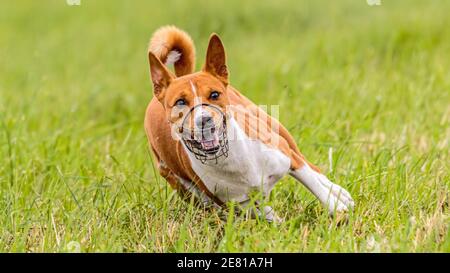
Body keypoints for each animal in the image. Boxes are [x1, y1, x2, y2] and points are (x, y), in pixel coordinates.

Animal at [146, 26, 354, 221]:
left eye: (214, 94)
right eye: (180, 102)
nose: (204, 119)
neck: (229, 157)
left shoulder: (287, 157)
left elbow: (313, 182)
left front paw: (336, 207)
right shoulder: (237, 203)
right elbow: (264, 214)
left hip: (277, 129)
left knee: (311, 166)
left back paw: (339, 192)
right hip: (183, 185)